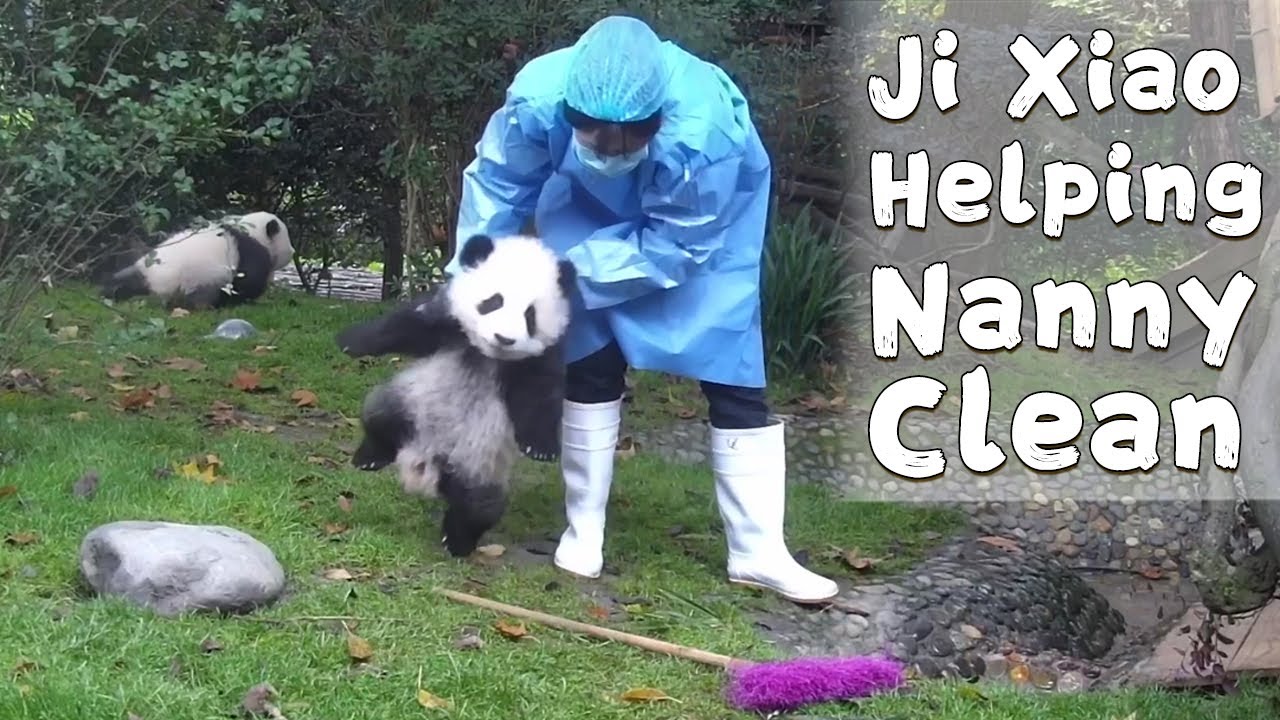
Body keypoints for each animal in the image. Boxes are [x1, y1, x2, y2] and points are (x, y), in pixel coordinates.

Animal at [100, 211, 294, 310]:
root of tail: (155, 280)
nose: (293, 251)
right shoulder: (249, 251)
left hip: (143, 266)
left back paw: (111, 290)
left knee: (125, 278)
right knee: (206, 293)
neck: (252, 230)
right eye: (288, 238)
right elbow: (248, 280)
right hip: (200, 276)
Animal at [335, 233, 577, 557]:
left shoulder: (539, 358)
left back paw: (457, 541)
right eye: (493, 302)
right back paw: (370, 456)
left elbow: (540, 397)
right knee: (379, 416)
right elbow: (405, 326)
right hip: (410, 398)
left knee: (479, 506)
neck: (488, 354)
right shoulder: (449, 324)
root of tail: (427, 463)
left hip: (480, 465)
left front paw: (541, 449)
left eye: (530, 315)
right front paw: (350, 341)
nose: (504, 338)